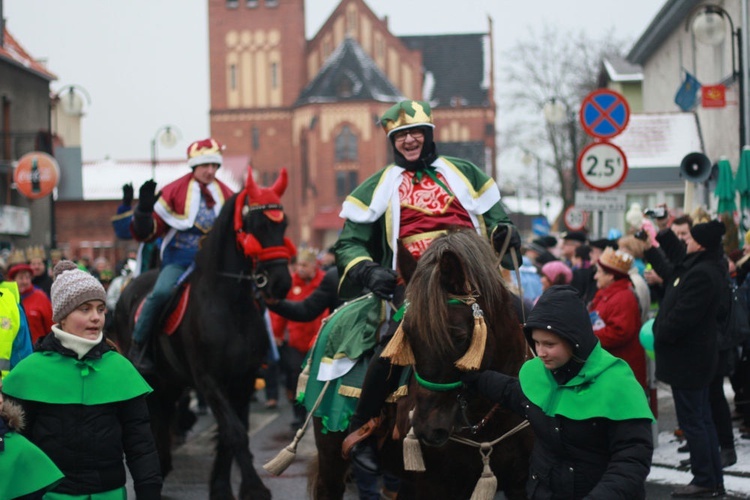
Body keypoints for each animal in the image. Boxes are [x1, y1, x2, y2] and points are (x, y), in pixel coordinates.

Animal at [113, 169, 296, 500]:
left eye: (284, 223)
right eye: (257, 224)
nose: (281, 283)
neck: (227, 302)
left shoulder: (243, 379)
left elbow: (230, 433)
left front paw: (222, 486)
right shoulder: (208, 380)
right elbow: (235, 432)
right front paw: (254, 487)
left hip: (171, 380)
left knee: (164, 415)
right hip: (151, 375)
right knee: (153, 416)